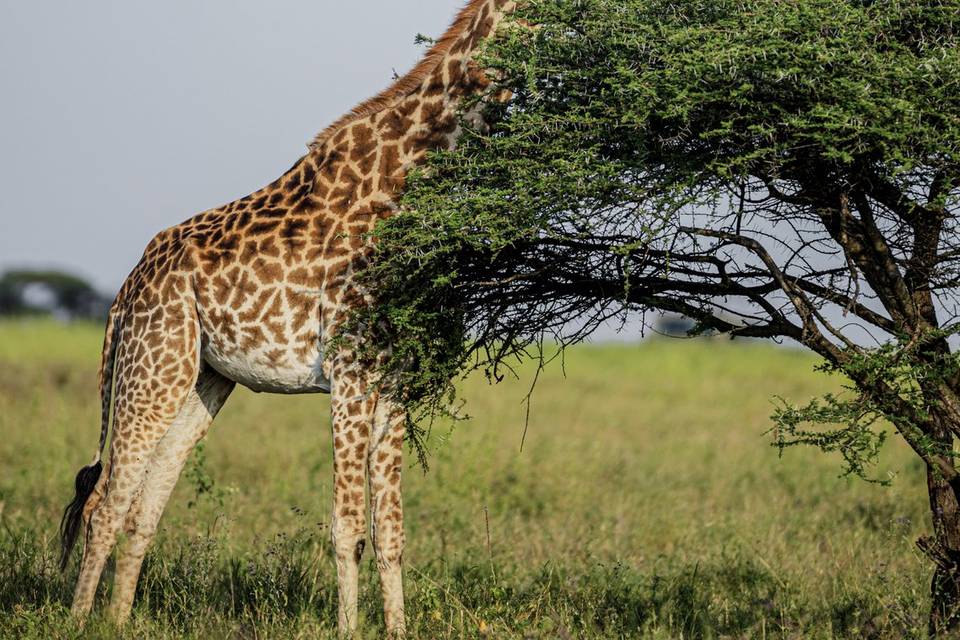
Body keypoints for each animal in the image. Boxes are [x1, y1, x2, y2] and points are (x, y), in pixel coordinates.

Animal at [57, 1, 517, 635]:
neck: (401, 180)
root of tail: (125, 290)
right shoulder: (351, 373)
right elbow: (348, 529)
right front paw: (349, 630)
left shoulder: (394, 382)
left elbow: (392, 531)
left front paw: (398, 629)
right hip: (154, 363)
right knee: (106, 501)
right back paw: (82, 622)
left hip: (203, 379)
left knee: (145, 506)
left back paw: (120, 621)